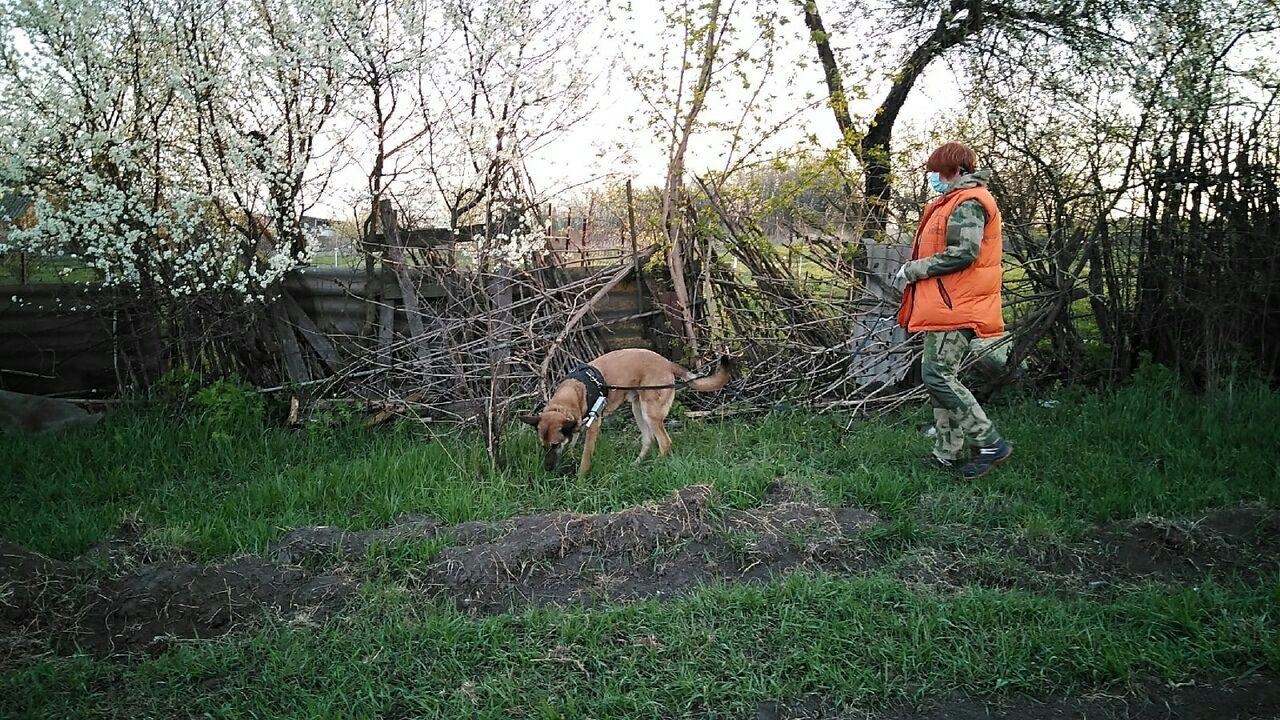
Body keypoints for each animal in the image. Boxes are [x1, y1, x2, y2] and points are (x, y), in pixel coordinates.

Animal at [519, 345, 737, 474]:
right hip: (637, 409)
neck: (573, 393)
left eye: (555, 444)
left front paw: (580, 478)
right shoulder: (576, 426)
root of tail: (666, 362)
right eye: (544, 446)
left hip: (650, 412)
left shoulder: (593, 426)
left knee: (664, 442)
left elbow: (586, 457)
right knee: (649, 440)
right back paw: (636, 465)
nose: (547, 469)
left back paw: (656, 466)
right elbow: (572, 444)